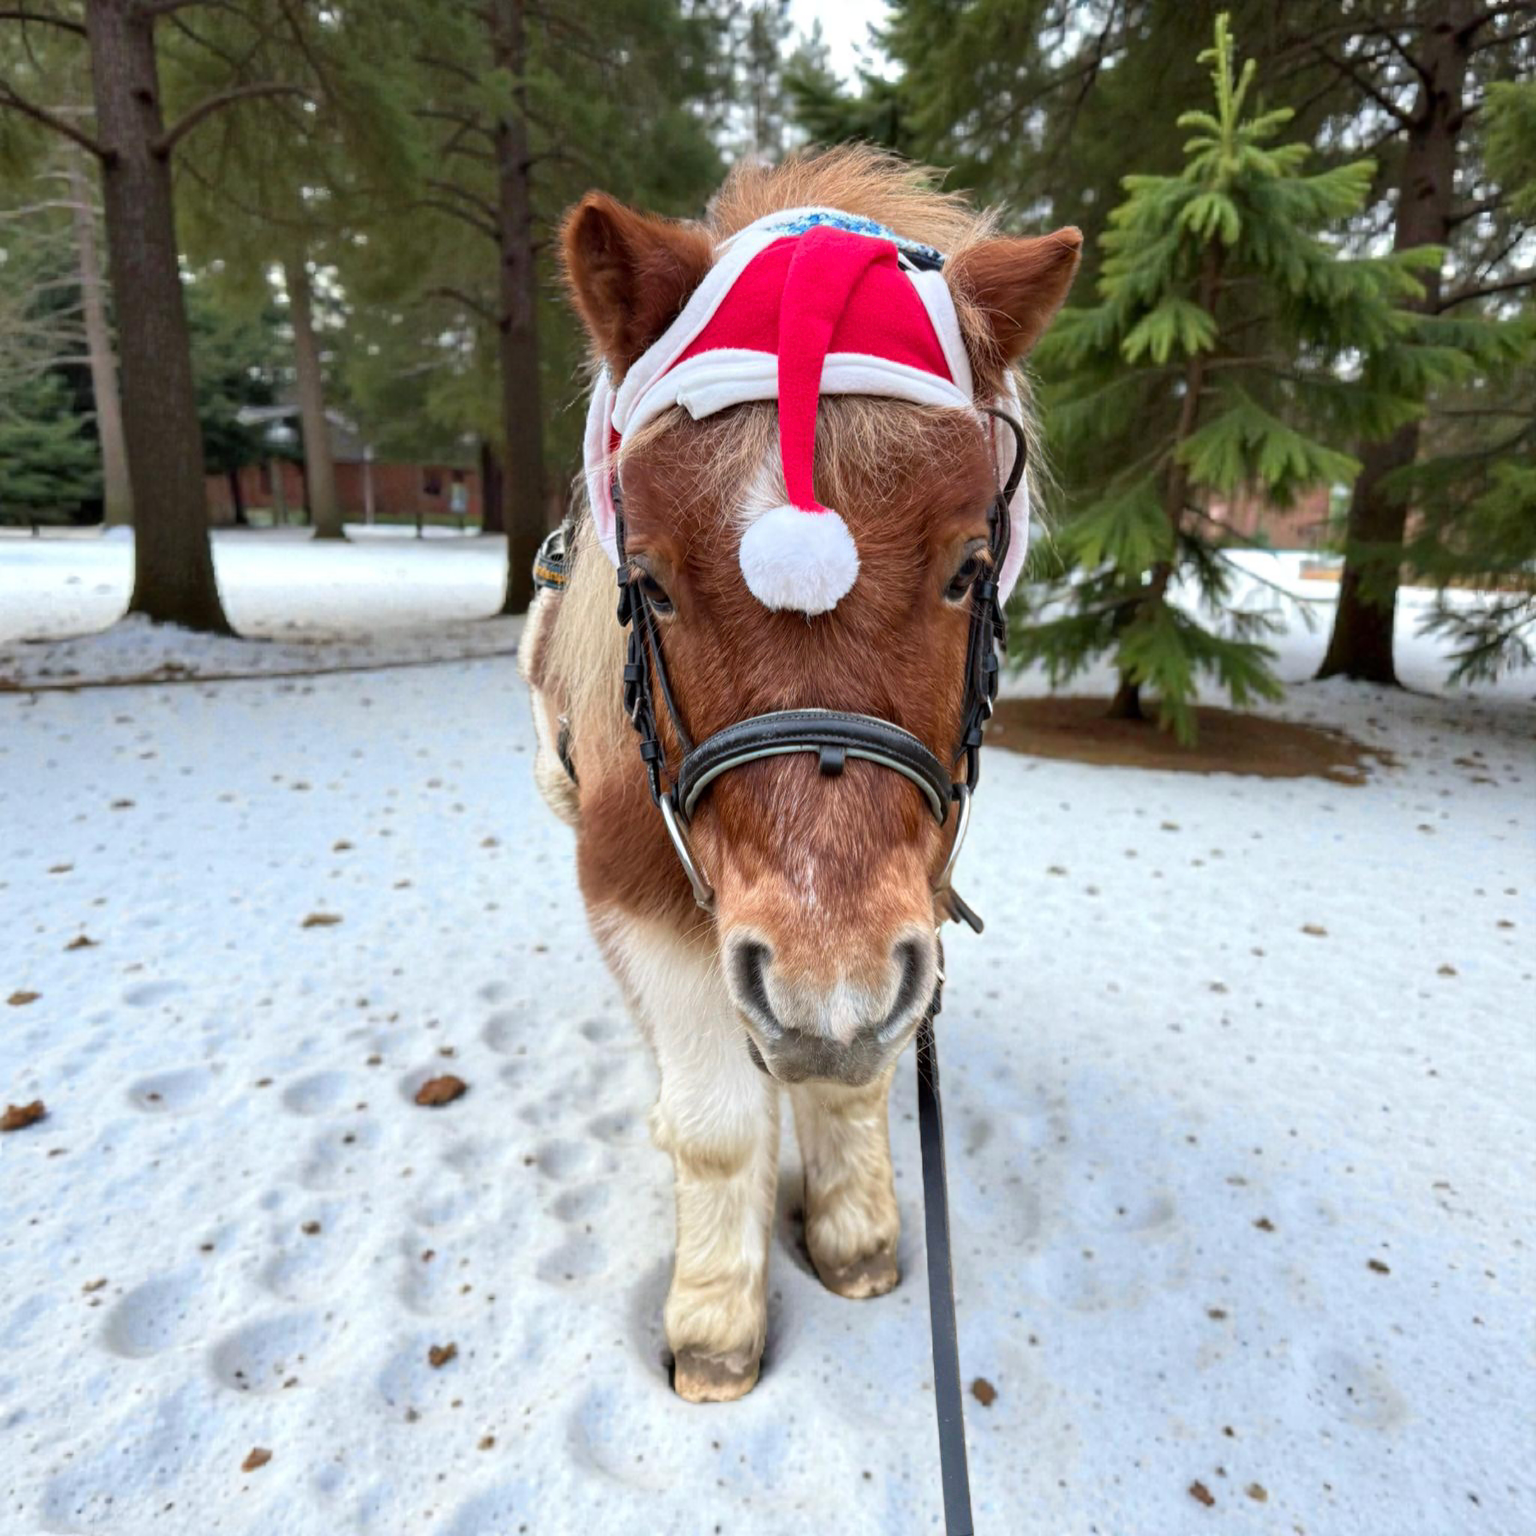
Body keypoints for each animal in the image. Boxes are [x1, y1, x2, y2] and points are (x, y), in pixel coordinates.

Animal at [522, 147, 1080, 1404]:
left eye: (971, 564)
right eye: (651, 581)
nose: (825, 988)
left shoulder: (902, 914)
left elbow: (856, 1074)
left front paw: (857, 1235)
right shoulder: (635, 897)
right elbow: (719, 1121)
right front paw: (714, 1322)